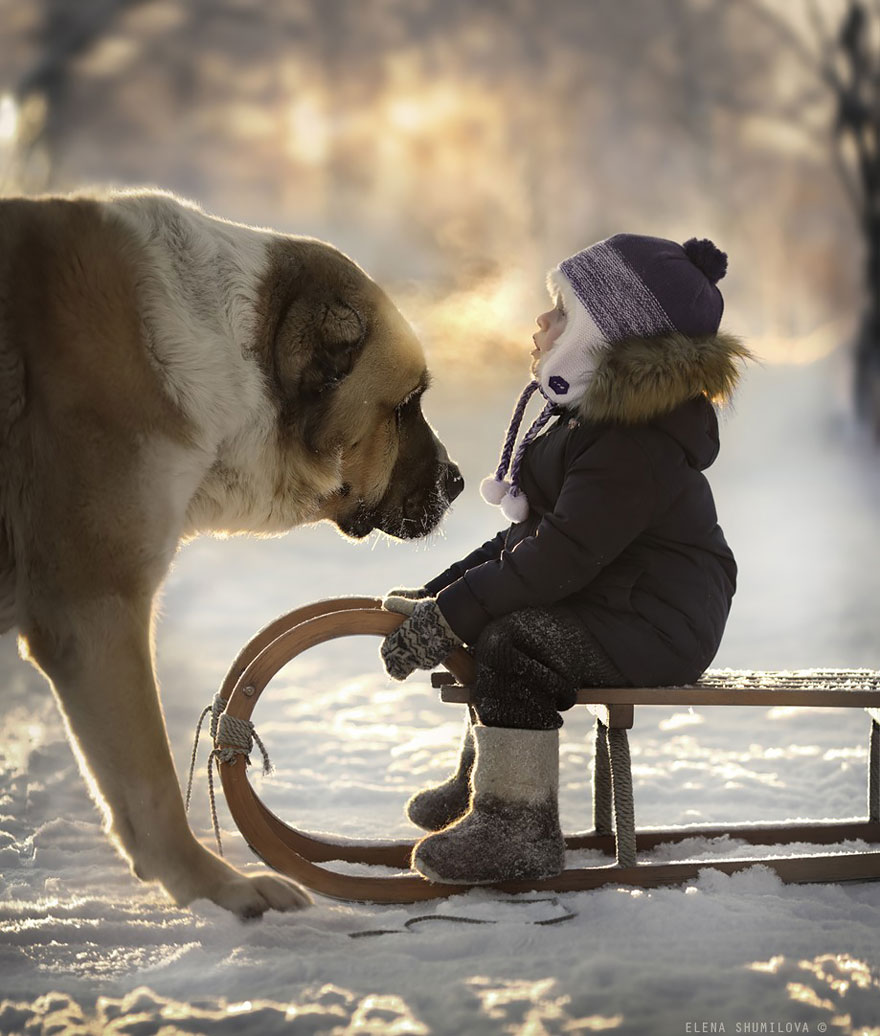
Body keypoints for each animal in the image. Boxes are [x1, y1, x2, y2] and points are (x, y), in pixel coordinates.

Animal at [0, 190, 464, 919]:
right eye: (405, 405)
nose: (460, 481)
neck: (237, 357)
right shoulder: (92, 609)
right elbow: (151, 781)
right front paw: (218, 888)